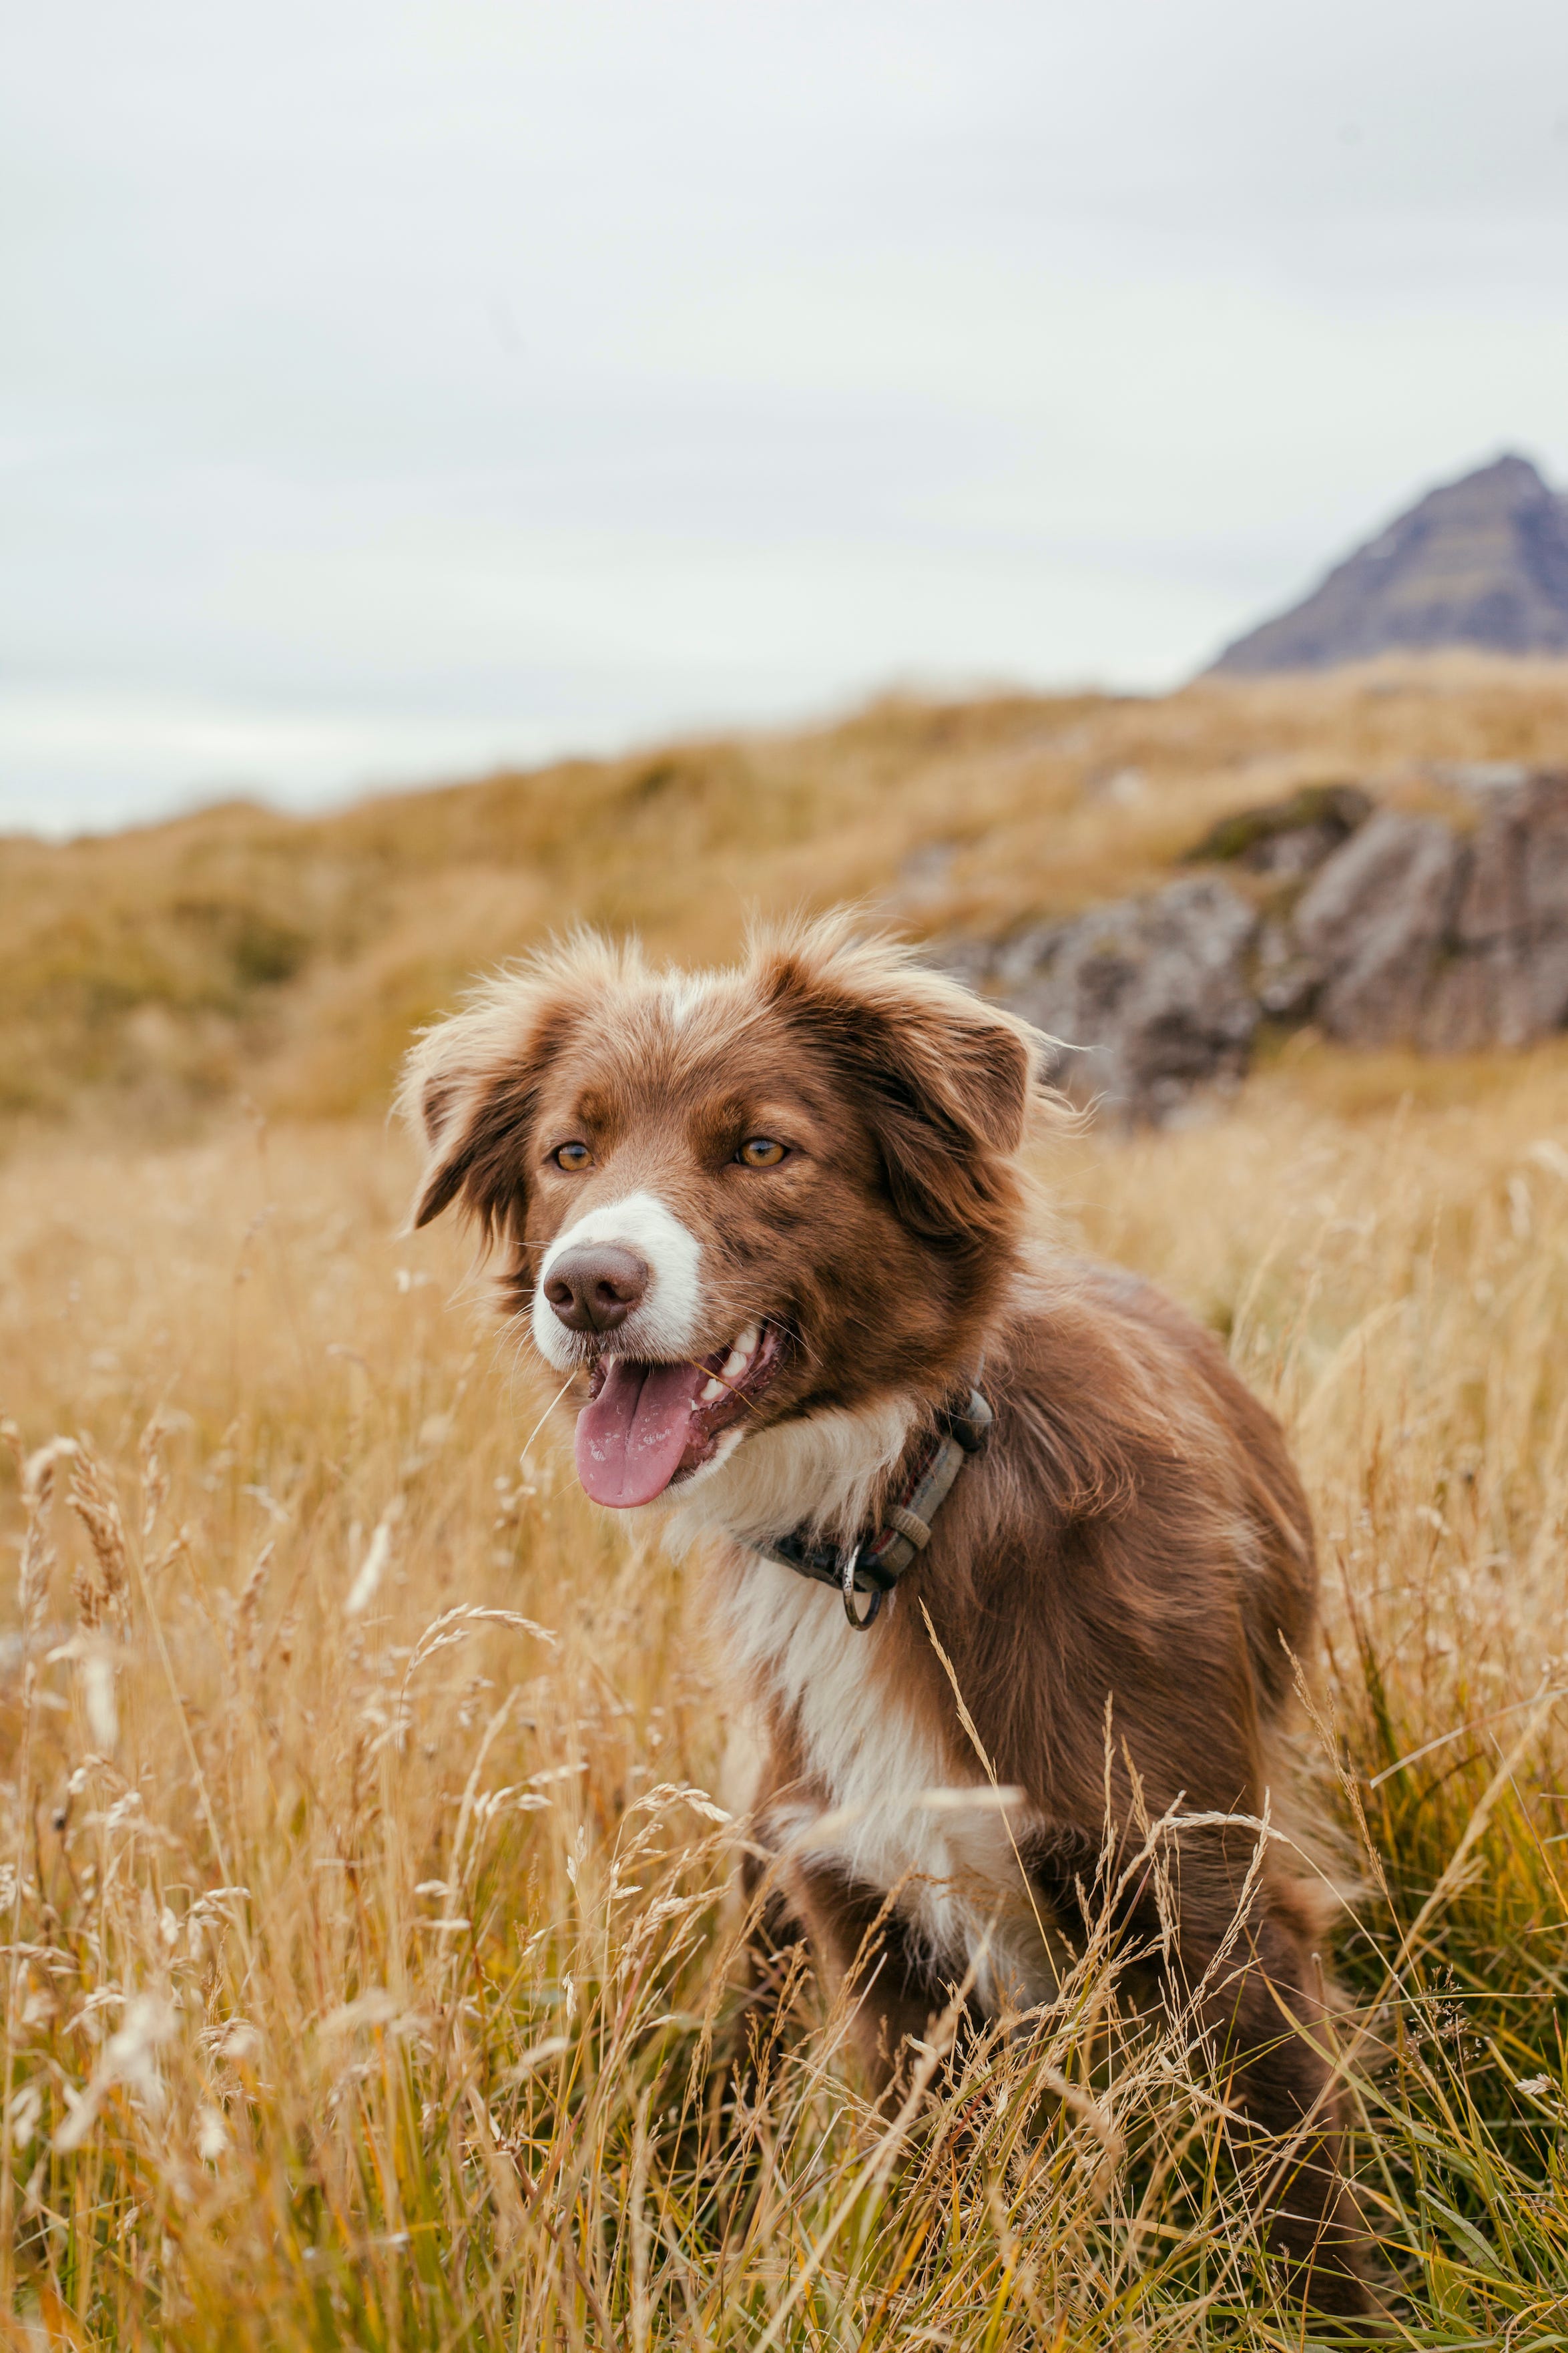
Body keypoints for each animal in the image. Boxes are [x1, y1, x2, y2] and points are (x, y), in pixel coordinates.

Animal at [402, 908, 1372, 2306]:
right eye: (567, 1153)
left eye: (761, 1147)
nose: (585, 1287)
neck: (890, 1504)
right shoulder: (868, 1929)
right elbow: (925, 2179)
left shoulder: (1207, 1892)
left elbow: (1301, 2209)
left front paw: (1343, 2313)